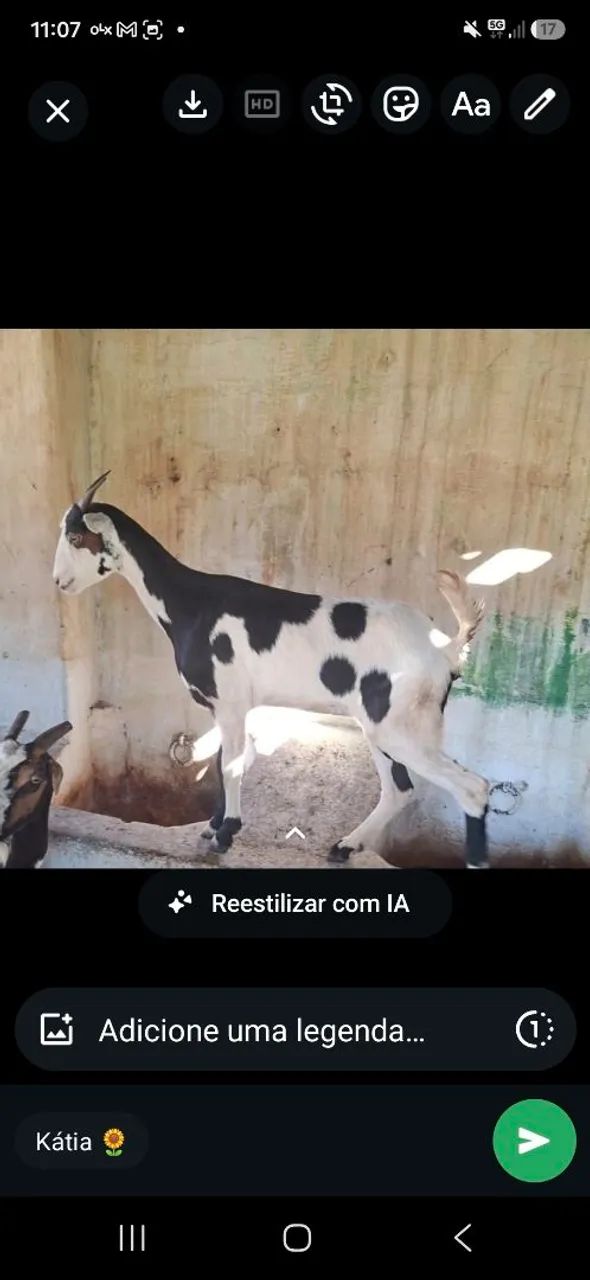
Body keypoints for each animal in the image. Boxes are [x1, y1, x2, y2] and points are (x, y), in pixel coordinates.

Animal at [53, 472, 489, 866]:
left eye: (75, 538)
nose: (58, 581)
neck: (189, 603)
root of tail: (446, 649)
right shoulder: (229, 706)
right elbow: (223, 762)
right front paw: (213, 826)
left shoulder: (229, 702)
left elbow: (229, 765)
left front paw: (225, 834)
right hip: (383, 725)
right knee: (400, 789)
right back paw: (345, 846)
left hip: (399, 725)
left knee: (472, 788)